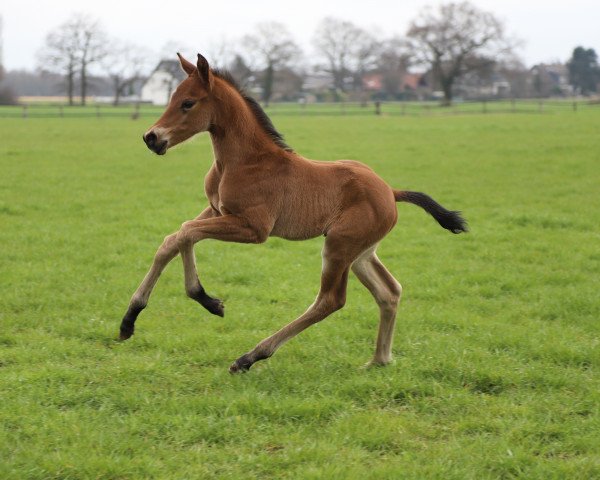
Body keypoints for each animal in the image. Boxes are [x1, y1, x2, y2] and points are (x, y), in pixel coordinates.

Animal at [119, 54, 466, 374]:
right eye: (171, 98)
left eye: (188, 103)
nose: (152, 137)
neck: (243, 160)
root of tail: (391, 191)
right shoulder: (216, 210)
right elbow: (173, 238)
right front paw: (129, 320)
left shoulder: (254, 228)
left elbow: (187, 232)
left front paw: (207, 300)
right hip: (362, 252)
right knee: (390, 291)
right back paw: (379, 360)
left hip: (339, 246)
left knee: (331, 300)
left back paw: (250, 357)